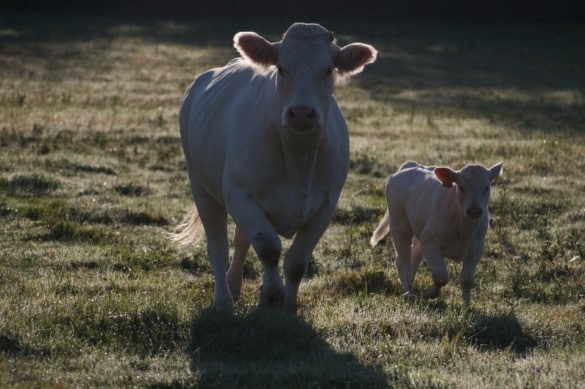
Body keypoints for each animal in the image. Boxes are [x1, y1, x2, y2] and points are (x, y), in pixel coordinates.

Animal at [171, 22, 376, 310]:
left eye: (328, 69)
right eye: (281, 68)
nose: (301, 113)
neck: (298, 160)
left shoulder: (327, 204)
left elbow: (296, 261)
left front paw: (289, 307)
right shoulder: (239, 194)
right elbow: (269, 247)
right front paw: (272, 293)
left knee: (241, 239)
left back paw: (234, 286)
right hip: (200, 186)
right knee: (218, 246)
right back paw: (223, 300)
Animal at [370, 160, 502, 304]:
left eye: (486, 187)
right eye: (461, 187)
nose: (474, 211)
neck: (463, 228)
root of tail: (410, 165)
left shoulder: (476, 249)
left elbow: (467, 280)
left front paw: (467, 305)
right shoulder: (431, 243)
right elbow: (441, 277)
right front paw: (429, 293)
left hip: (419, 233)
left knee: (414, 256)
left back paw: (410, 286)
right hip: (399, 224)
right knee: (403, 260)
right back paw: (408, 293)